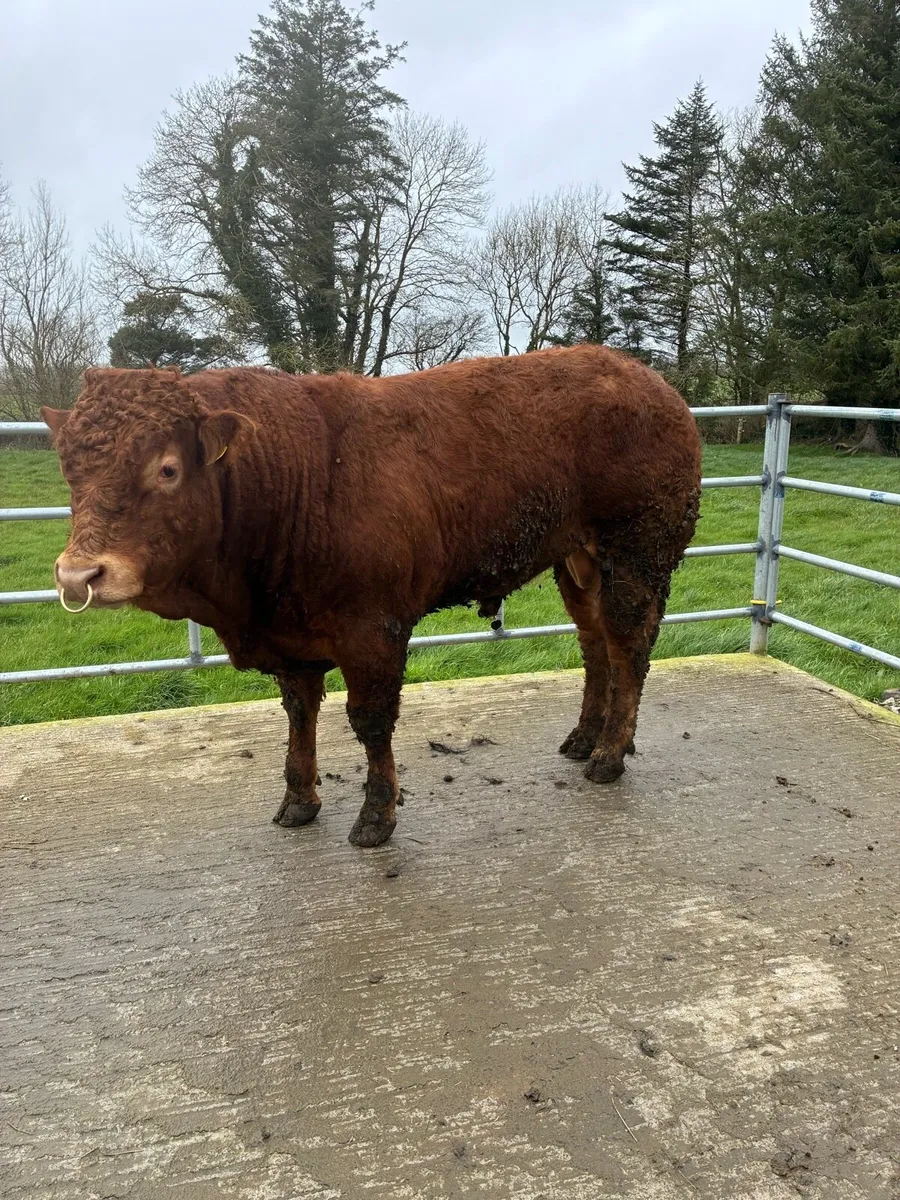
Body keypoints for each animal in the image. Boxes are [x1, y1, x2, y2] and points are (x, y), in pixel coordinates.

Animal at [42, 345, 701, 847]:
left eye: (168, 468)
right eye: (69, 470)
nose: (78, 575)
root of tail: (649, 381)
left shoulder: (373, 630)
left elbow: (370, 720)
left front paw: (375, 815)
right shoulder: (292, 634)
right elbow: (300, 711)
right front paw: (298, 800)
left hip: (636, 552)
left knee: (628, 646)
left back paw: (609, 754)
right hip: (576, 560)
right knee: (595, 643)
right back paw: (585, 737)